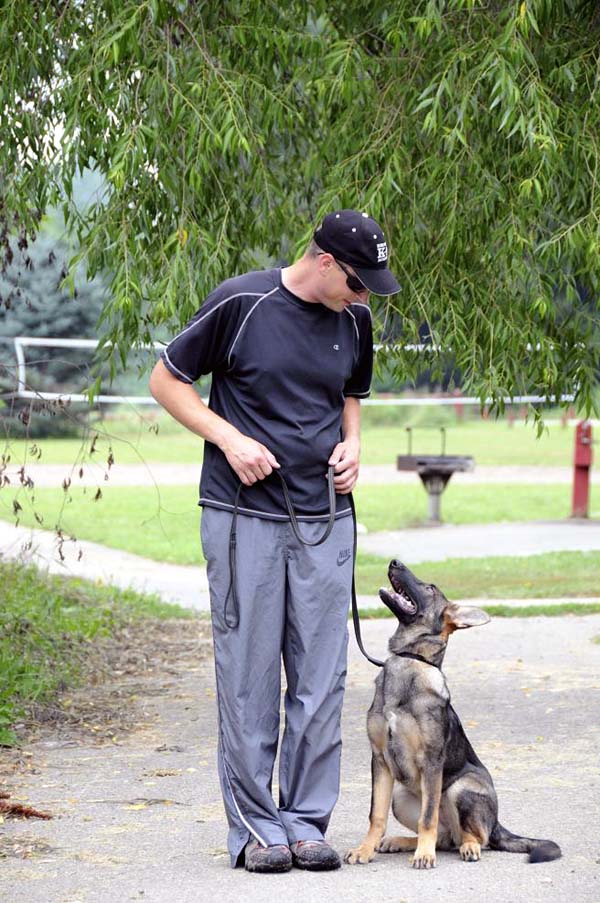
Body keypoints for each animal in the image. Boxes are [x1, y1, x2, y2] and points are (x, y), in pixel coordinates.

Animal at [346, 556, 564, 868]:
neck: (410, 659)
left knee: (474, 837)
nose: (394, 561)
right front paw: (366, 849)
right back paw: (401, 842)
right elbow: (376, 815)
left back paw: (464, 847)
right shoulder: (380, 761)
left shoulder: (431, 761)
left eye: (430, 588)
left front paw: (424, 855)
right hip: (400, 795)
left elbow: (428, 817)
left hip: (460, 787)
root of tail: (497, 824)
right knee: (445, 837)